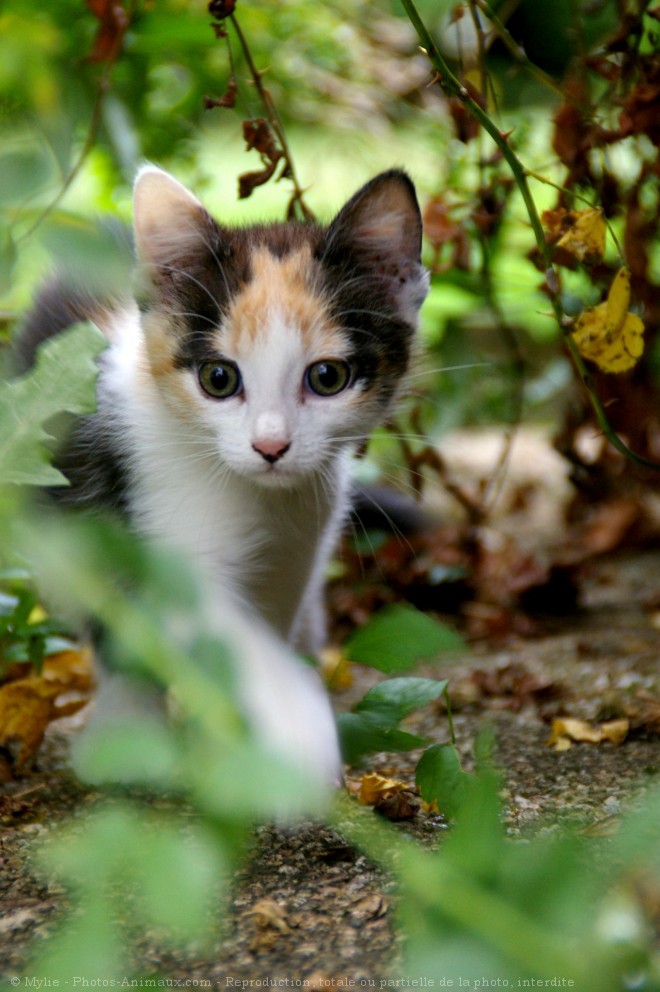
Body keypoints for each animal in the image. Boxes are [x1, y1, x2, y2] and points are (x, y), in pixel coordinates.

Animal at [16, 169, 428, 792]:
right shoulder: (162, 523)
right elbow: (219, 635)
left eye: (327, 377)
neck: (258, 493)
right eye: (218, 378)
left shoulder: (300, 540)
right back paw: (126, 733)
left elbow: (270, 620)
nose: (271, 447)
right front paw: (295, 730)